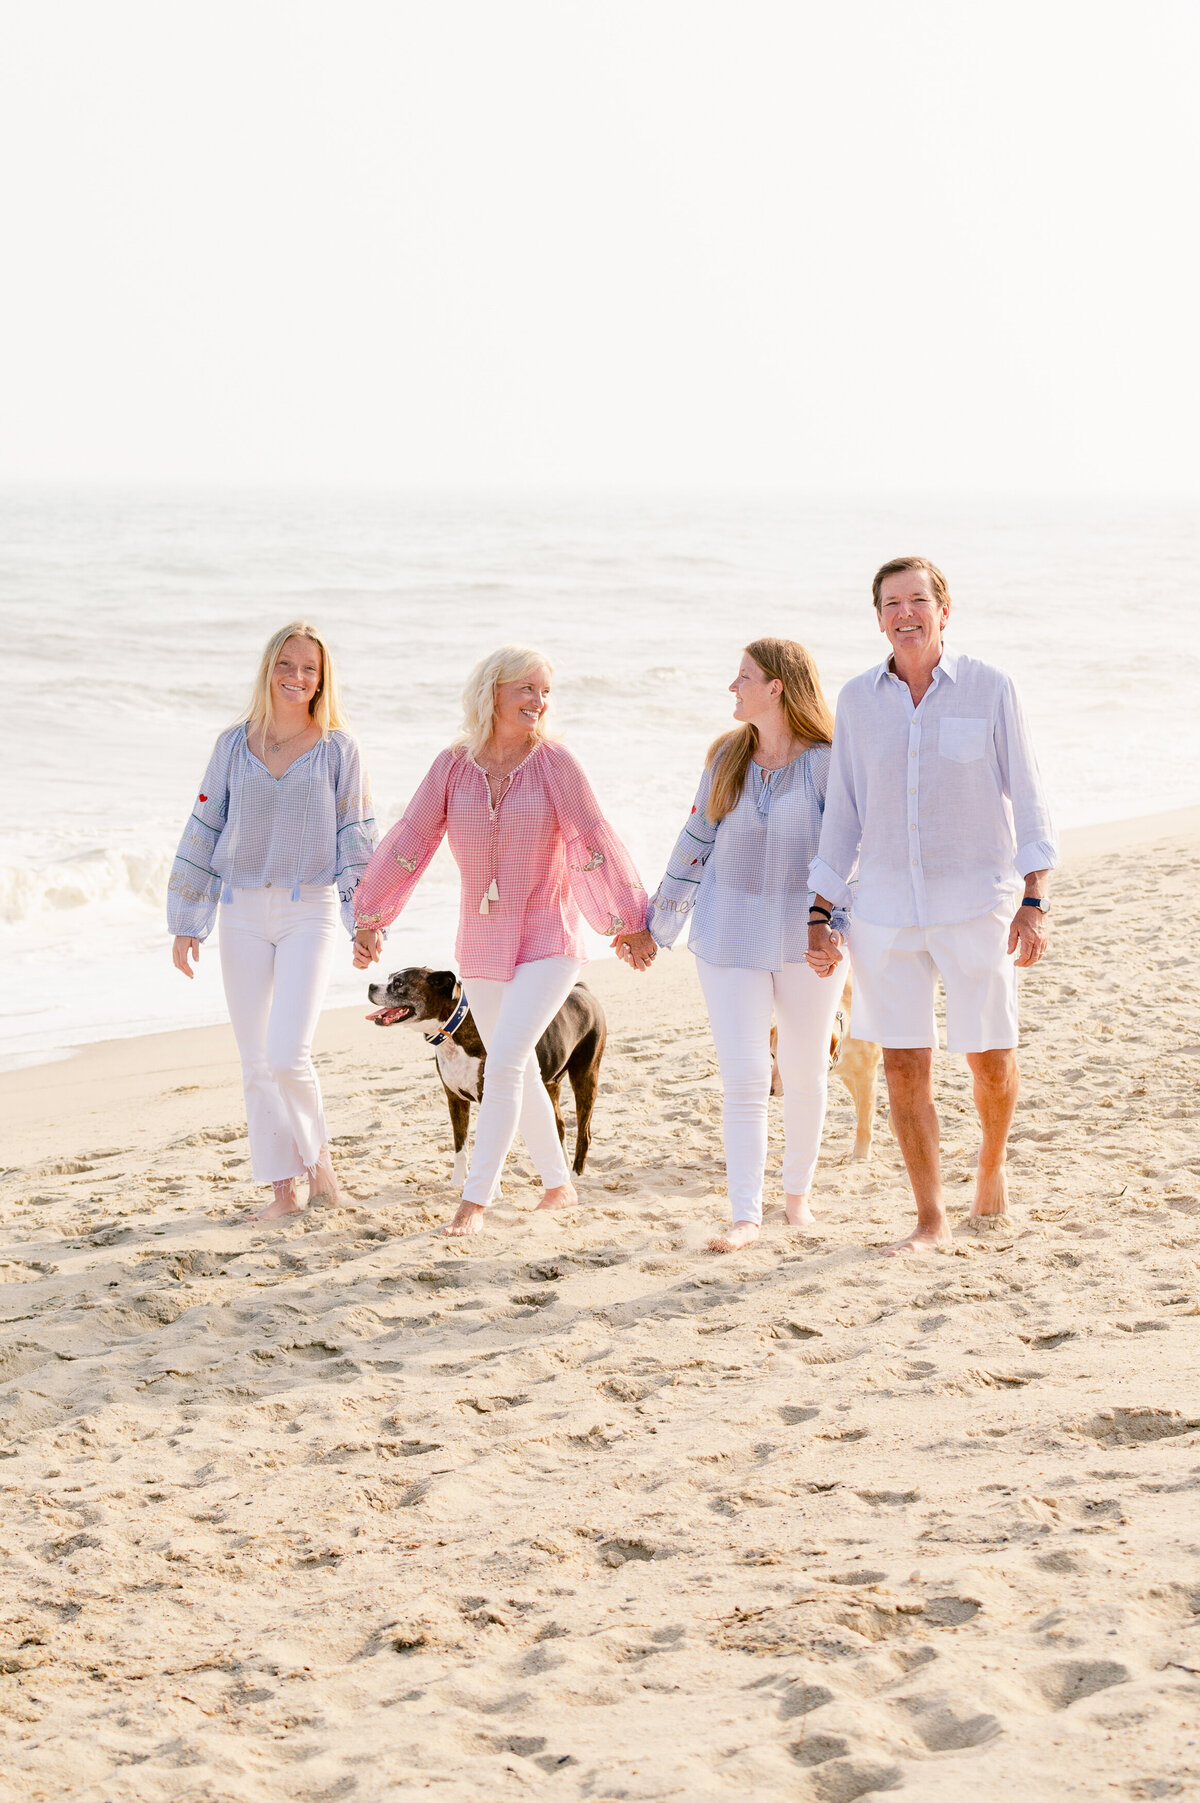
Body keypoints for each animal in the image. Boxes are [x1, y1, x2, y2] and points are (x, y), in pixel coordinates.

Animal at [767, 973, 879, 1153]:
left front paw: (860, 1155)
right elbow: (862, 1110)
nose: (770, 1090)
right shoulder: (849, 1075)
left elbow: (864, 1119)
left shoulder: (867, 1075)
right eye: (772, 1055)